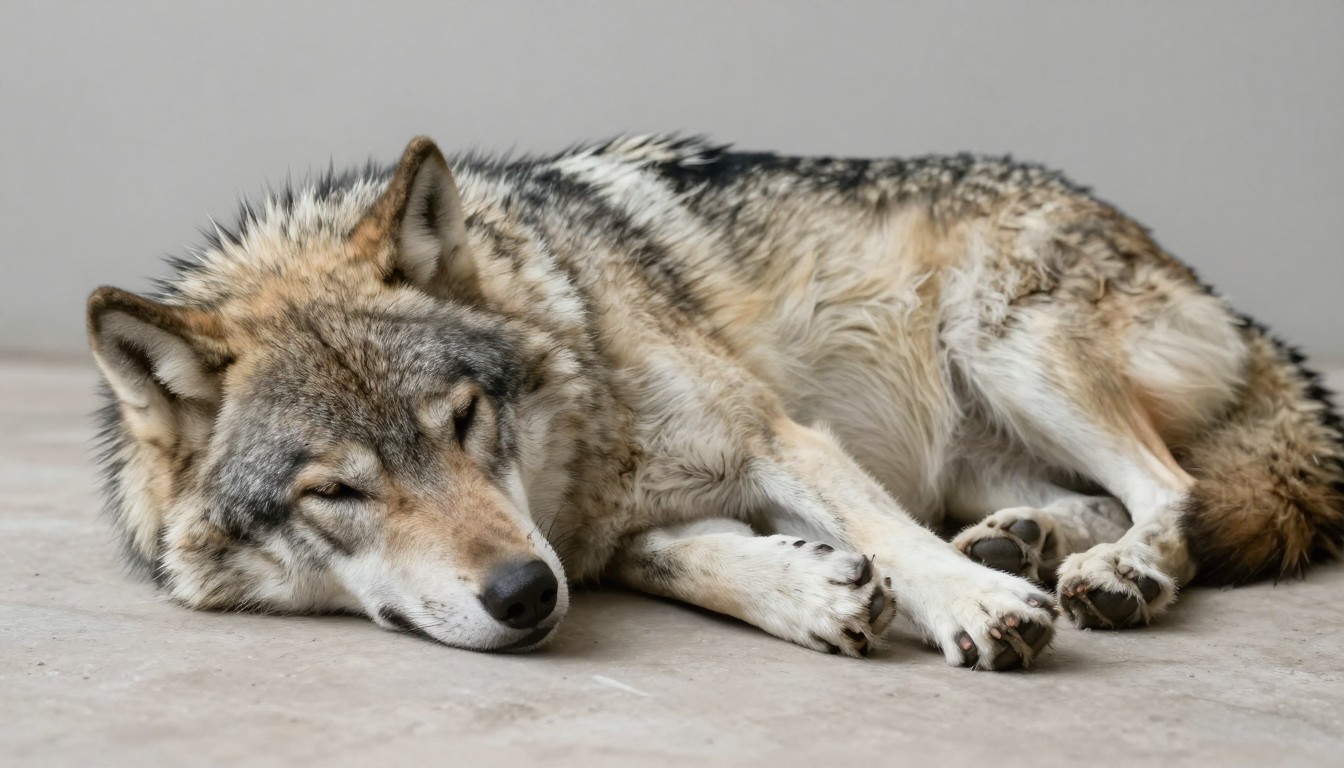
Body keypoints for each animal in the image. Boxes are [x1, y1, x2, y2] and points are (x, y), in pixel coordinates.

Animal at [86, 135, 1343, 669]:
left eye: (464, 421)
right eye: (338, 492)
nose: (521, 594)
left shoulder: (778, 433)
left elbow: (887, 534)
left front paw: (974, 605)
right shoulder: (604, 538)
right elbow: (688, 560)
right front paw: (809, 592)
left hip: (1005, 345)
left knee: (1173, 489)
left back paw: (1102, 572)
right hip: (977, 439)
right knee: (1078, 497)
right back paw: (1021, 540)